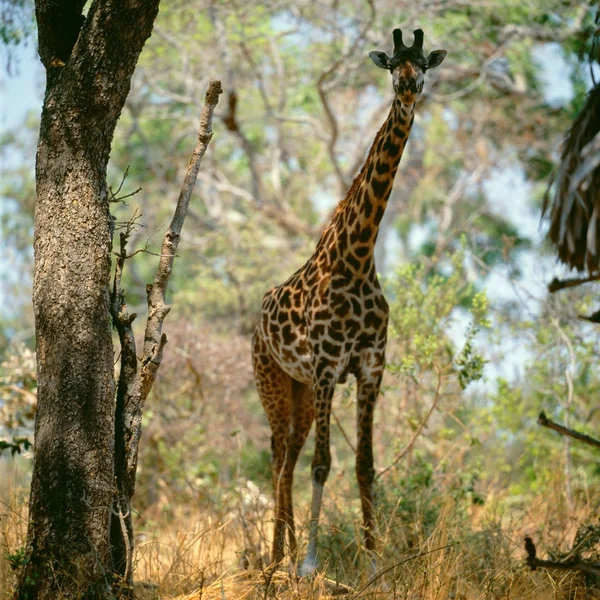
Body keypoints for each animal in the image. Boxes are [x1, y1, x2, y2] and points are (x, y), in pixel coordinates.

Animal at [250, 28, 446, 572]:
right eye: (392, 65)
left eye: (425, 64)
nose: (409, 87)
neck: (357, 259)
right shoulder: (326, 366)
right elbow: (324, 465)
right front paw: (311, 565)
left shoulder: (370, 366)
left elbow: (364, 464)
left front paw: (375, 563)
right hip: (273, 379)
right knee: (280, 456)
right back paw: (278, 561)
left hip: (298, 389)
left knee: (288, 459)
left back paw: (283, 555)